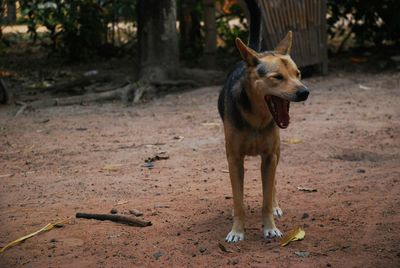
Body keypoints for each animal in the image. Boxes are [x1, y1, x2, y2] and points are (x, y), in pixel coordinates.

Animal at [219, 0, 310, 243]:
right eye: (277, 77)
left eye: (298, 74)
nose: (304, 92)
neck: (256, 118)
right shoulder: (234, 159)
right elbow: (239, 201)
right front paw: (237, 231)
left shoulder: (269, 157)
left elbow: (267, 198)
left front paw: (270, 227)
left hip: (276, 152)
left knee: (273, 185)